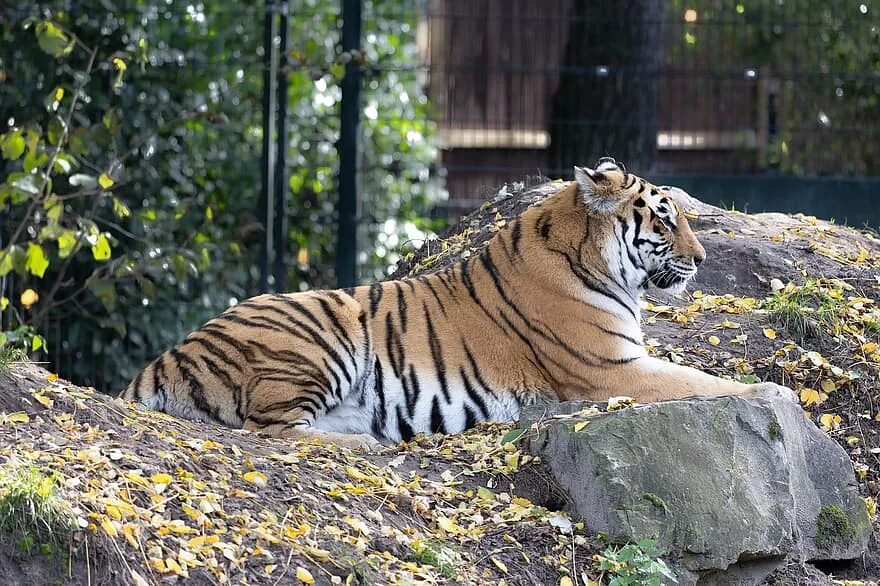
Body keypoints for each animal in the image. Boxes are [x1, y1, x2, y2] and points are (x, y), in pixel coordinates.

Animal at [120, 157, 788, 450]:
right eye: (667, 219)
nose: (702, 258)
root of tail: (166, 356)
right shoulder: (611, 368)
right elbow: (701, 381)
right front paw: (769, 392)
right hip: (320, 336)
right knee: (273, 431)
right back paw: (361, 445)